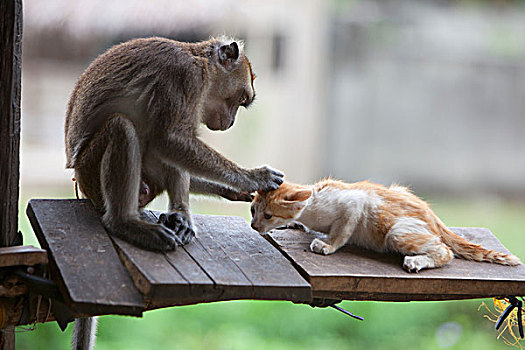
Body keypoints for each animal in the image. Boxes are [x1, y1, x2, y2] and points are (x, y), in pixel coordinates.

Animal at [65, 37, 282, 252]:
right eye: (242, 98)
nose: (231, 122)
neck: (203, 64)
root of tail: (79, 181)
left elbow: (173, 144)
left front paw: (229, 190)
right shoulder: (186, 78)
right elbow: (170, 139)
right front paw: (254, 177)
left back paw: (180, 216)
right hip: (89, 174)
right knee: (122, 127)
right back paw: (124, 222)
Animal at [251, 179, 520, 272]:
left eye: (268, 215)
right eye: (253, 211)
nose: (254, 225)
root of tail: (433, 217)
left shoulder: (354, 203)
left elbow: (342, 231)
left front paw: (327, 245)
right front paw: (295, 226)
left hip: (397, 232)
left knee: (446, 251)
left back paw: (417, 262)